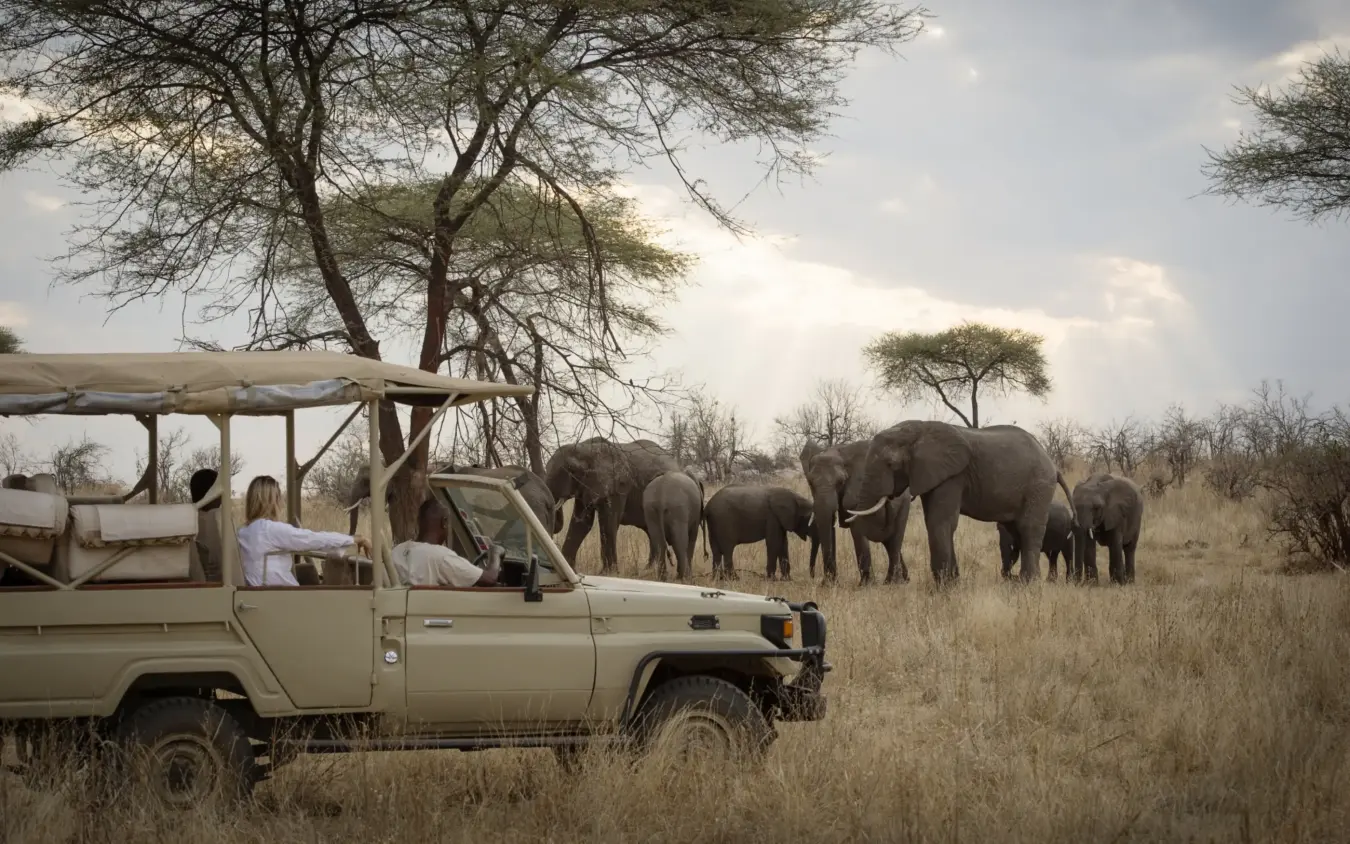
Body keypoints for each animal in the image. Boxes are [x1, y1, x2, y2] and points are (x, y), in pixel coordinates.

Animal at [544, 437, 681, 573]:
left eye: (572, 470)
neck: (586, 448)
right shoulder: (585, 486)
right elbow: (581, 524)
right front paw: (567, 569)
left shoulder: (618, 486)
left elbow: (608, 523)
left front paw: (608, 573)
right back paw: (649, 569)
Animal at [805, 440, 912, 584]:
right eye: (810, 483)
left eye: (841, 482)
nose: (823, 581)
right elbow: (829, 524)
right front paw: (830, 584)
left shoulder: (859, 492)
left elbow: (857, 529)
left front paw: (866, 585)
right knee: (889, 542)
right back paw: (903, 580)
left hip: (904, 505)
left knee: (895, 539)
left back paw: (893, 582)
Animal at [847, 420, 1074, 585]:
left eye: (891, 464)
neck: (918, 429)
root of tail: (1054, 465)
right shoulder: (933, 475)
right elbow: (937, 522)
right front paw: (953, 582)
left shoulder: (953, 476)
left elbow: (941, 522)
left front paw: (943, 587)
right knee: (1016, 529)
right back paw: (1020, 583)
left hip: (1039, 485)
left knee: (1028, 528)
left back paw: (1029, 584)